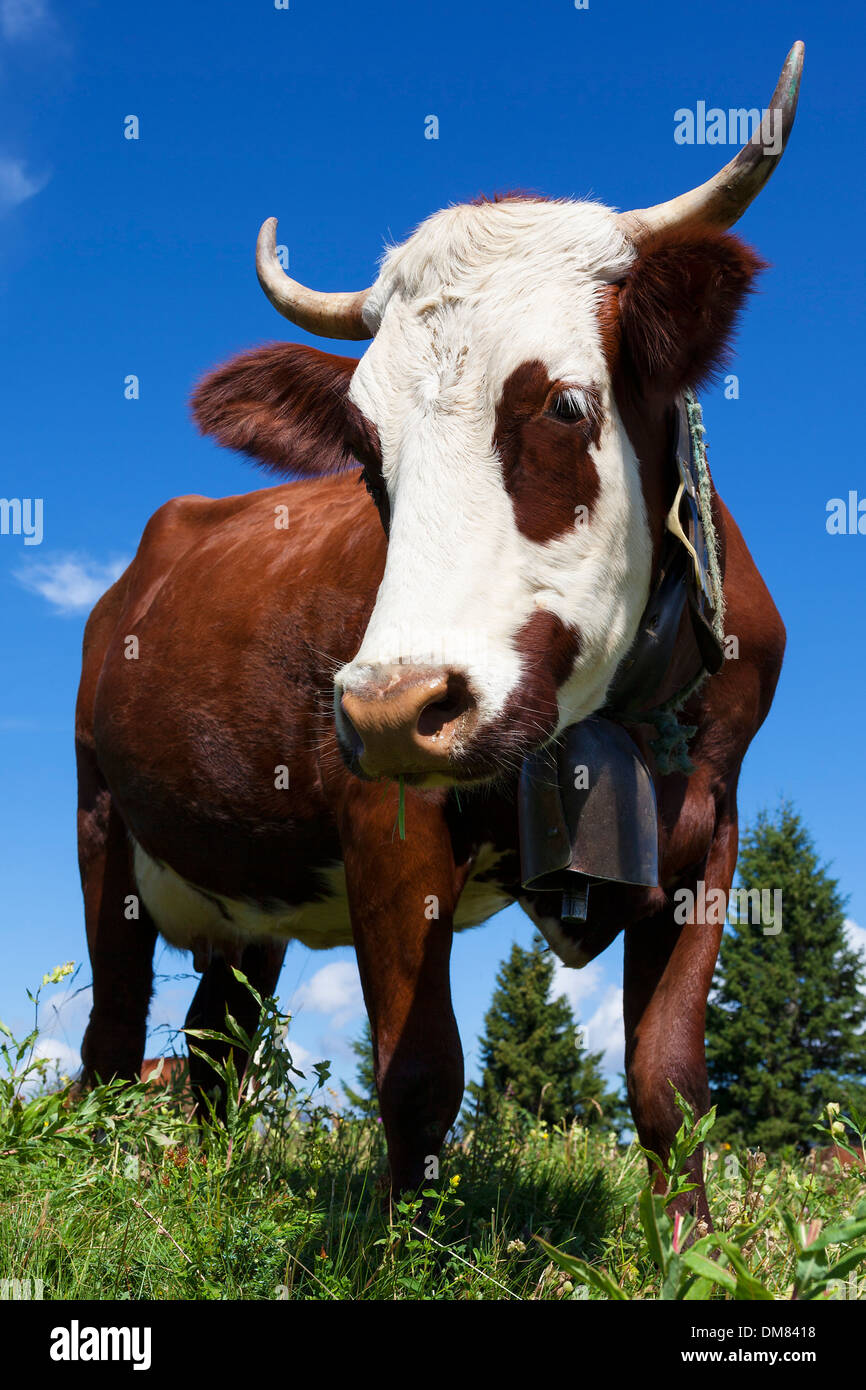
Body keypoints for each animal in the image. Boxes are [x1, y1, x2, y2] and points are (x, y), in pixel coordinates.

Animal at [75, 45, 803, 1222]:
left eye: (561, 406)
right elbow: (419, 1074)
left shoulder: (712, 822)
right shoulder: (385, 815)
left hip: (247, 901)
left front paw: (687, 1242)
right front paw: (400, 1244)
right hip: (105, 828)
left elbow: (670, 1079)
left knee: (211, 1046)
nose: (389, 705)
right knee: (110, 1036)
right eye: (365, 449)